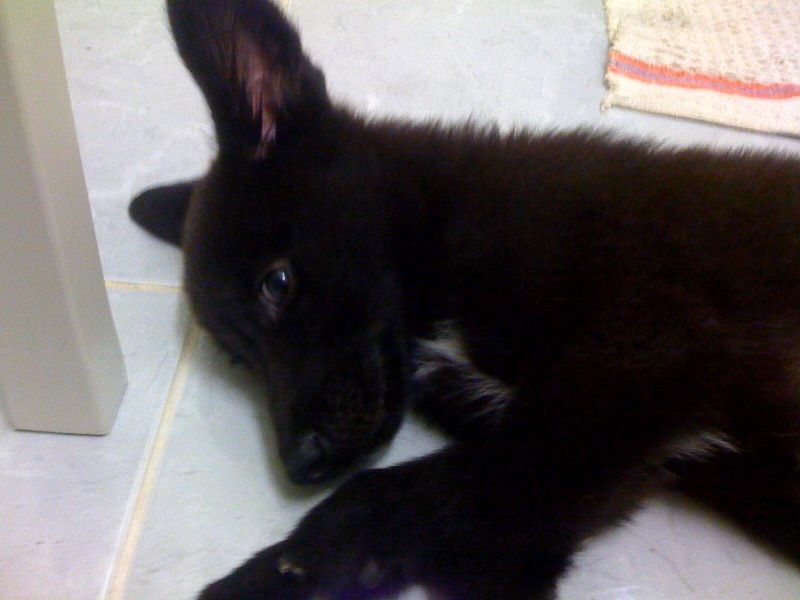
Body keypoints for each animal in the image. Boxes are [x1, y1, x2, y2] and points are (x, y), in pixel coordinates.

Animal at [129, 0, 800, 598]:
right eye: (237, 357)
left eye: (278, 284)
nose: (300, 465)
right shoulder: (615, 440)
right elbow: (391, 491)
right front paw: (285, 570)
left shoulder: (644, 348)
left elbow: (495, 499)